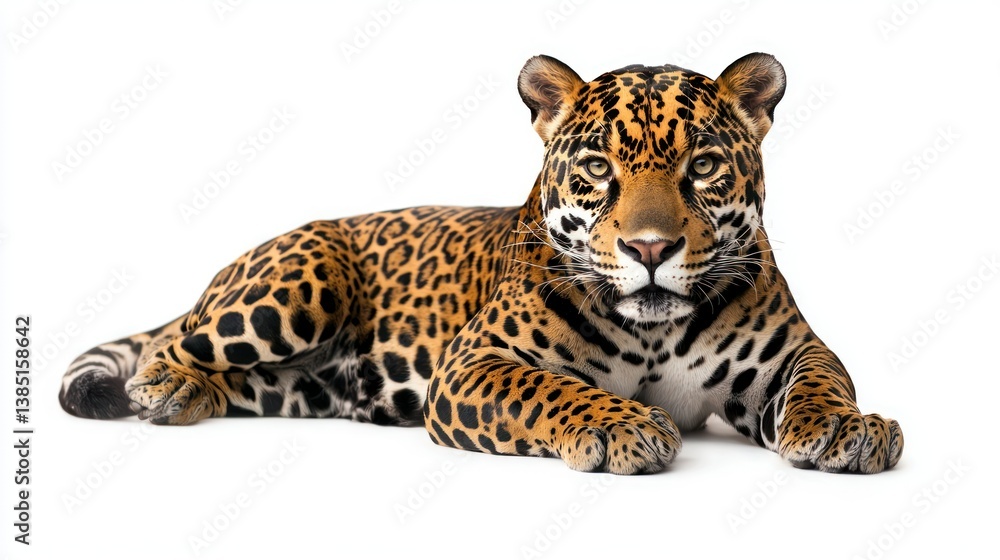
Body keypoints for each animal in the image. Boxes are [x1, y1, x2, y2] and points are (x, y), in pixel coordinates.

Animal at [60, 53, 903, 474]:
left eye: (701, 168)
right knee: (179, 341)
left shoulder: (790, 352)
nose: (650, 249)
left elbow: (824, 379)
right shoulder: (476, 362)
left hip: (296, 389)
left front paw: (848, 427)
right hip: (296, 286)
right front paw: (623, 425)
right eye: (598, 169)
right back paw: (166, 387)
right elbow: (551, 390)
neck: (654, 332)